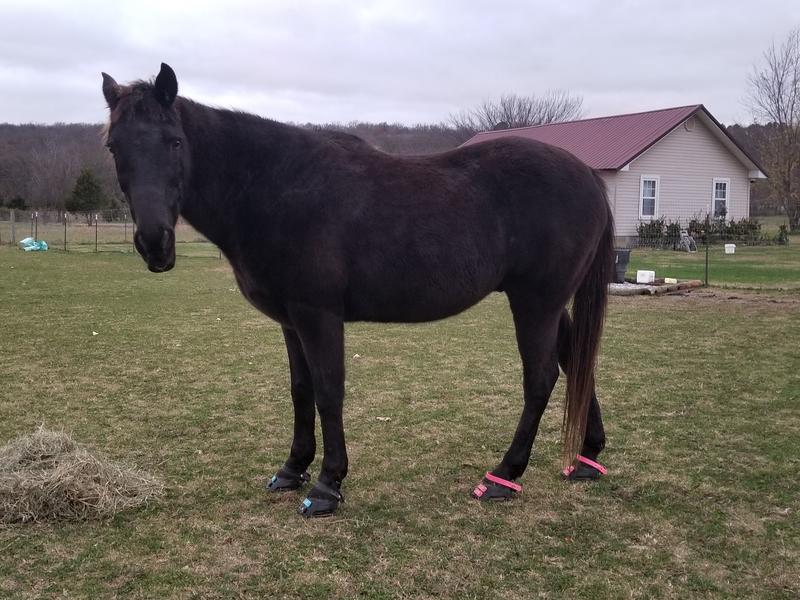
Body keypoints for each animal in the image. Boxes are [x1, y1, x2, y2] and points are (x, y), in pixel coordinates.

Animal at [101, 63, 613, 518]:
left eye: (174, 141)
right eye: (113, 147)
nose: (154, 243)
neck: (276, 185)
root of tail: (588, 175)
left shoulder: (318, 314)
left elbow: (329, 391)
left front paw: (327, 485)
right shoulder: (291, 321)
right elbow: (301, 389)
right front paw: (292, 470)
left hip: (536, 303)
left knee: (541, 378)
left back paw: (504, 476)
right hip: (548, 303)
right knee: (576, 362)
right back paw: (588, 458)